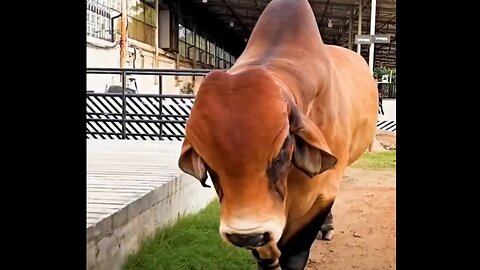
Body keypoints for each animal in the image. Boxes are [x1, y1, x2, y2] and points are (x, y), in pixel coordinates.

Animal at [179, 0, 378, 270]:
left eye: (282, 149)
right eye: (207, 160)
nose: (246, 235)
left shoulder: (323, 190)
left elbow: (295, 250)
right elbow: (266, 253)